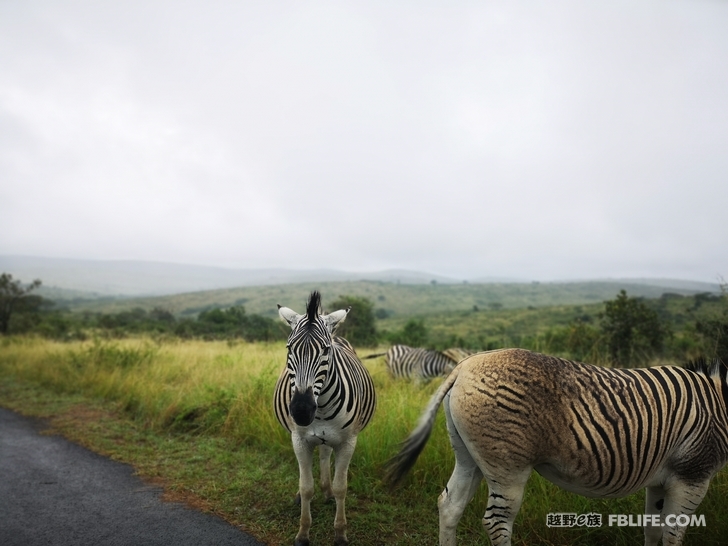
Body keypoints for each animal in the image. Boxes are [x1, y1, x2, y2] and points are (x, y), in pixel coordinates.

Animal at [272, 288, 376, 544]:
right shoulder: (299, 440)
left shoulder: (348, 441)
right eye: (289, 349)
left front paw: (340, 533)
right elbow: (306, 486)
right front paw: (303, 532)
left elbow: (341, 488)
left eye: (326, 350)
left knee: (326, 454)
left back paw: (327, 490)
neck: (320, 410)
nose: (301, 411)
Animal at [386, 348, 728, 544]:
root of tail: (464, 366)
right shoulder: (694, 474)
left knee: (450, 505)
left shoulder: (661, 479)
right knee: (497, 522)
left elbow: (653, 529)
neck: (719, 402)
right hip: (508, 465)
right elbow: (672, 534)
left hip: (468, 456)